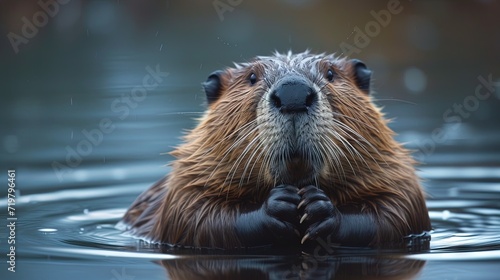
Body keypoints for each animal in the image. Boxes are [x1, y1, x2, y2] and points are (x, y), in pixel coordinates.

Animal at [119, 51, 432, 250]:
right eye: (251, 77)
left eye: (331, 73)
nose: (293, 93)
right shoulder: (186, 180)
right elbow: (194, 216)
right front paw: (280, 204)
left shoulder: (394, 173)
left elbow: (399, 210)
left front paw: (318, 208)